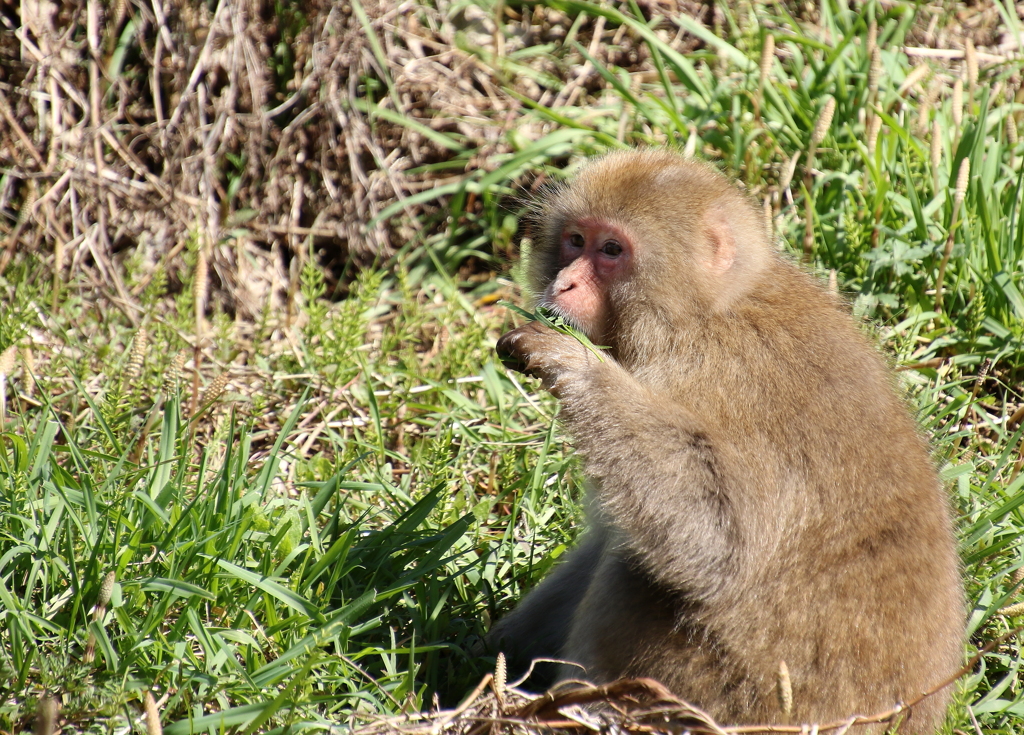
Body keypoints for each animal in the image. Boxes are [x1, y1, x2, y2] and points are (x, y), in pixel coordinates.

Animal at [485, 149, 958, 732]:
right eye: (575, 240)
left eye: (611, 250)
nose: (564, 285)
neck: (701, 316)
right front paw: (490, 649)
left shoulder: (717, 379)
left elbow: (717, 541)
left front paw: (572, 363)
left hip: (734, 693)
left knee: (640, 570)